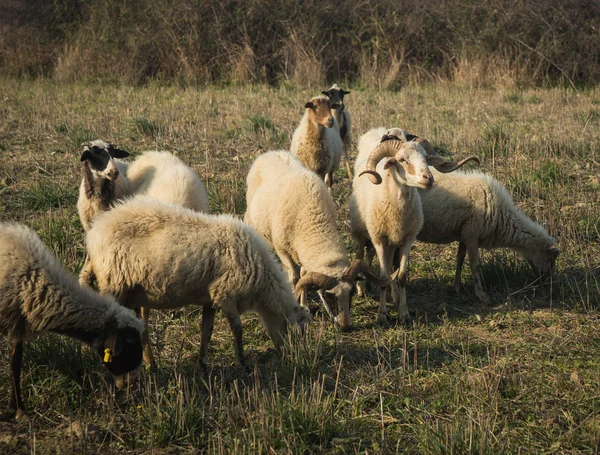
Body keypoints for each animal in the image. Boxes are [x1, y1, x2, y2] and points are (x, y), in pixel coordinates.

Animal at [0, 223, 144, 422]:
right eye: (129, 345)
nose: (132, 383)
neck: (33, 279)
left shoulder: (18, 323)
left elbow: (16, 364)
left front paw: (18, 409)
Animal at [84, 198, 310, 372]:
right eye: (295, 330)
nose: (290, 357)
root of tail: (95, 233)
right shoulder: (226, 295)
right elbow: (238, 330)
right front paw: (243, 363)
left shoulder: (211, 299)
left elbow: (206, 331)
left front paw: (202, 365)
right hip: (114, 284)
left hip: (135, 293)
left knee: (140, 329)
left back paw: (151, 366)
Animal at [245, 151, 390, 334]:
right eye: (329, 296)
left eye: (351, 293)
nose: (346, 327)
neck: (314, 222)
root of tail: (271, 152)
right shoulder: (283, 249)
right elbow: (295, 278)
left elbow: (303, 276)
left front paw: (305, 306)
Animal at [350, 126, 480, 322]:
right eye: (402, 160)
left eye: (426, 158)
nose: (428, 178)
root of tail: (377, 130)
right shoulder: (379, 239)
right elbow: (383, 276)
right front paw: (381, 315)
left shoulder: (407, 239)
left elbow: (401, 276)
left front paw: (404, 314)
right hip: (362, 232)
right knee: (361, 254)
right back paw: (362, 289)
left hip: (392, 242)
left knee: (389, 265)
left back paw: (395, 296)